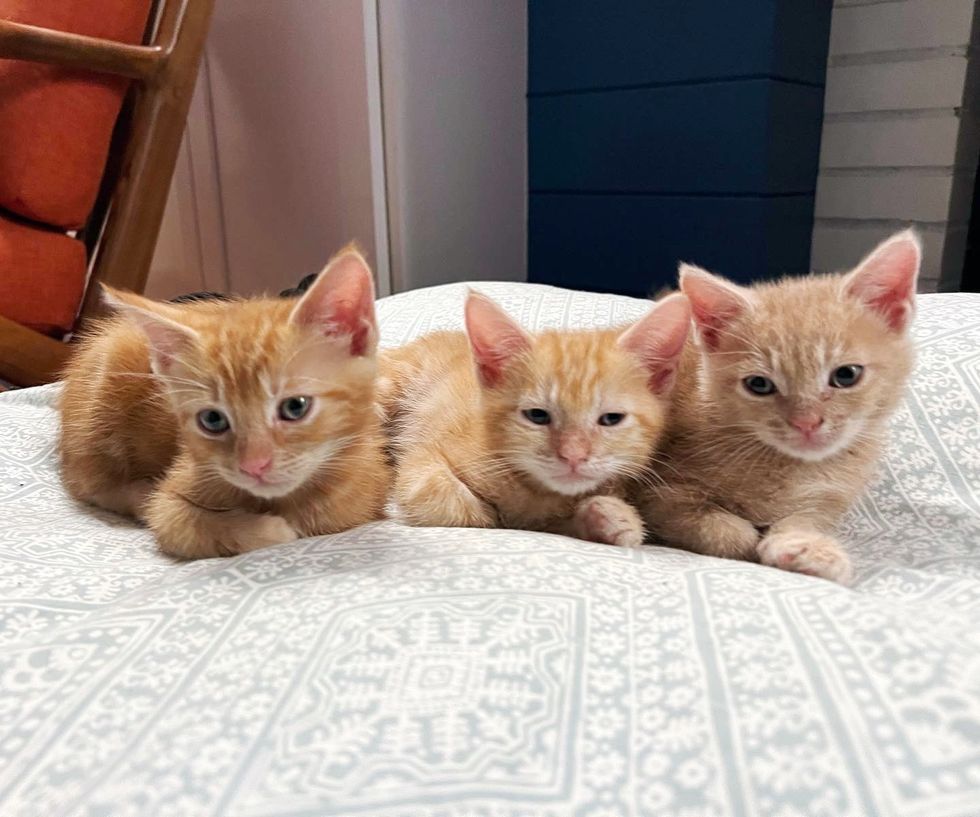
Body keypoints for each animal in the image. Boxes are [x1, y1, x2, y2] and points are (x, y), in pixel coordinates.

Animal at [59, 245, 390, 556]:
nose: (253, 466)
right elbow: (176, 521)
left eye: (295, 407)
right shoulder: (173, 502)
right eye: (212, 420)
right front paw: (272, 529)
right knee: (88, 483)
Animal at [378, 290, 692, 544]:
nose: (573, 456)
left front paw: (612, 518)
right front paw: (486, 515)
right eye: (537, 416)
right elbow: (441, 498)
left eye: (611, 419)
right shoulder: (425, 457)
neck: (534, 492)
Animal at [640, 230, 924, 580]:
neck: (789, 465)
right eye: (759, 384)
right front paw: (753, 544)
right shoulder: (661, 493)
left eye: (846, 375)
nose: (807, 422)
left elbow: (805, 519)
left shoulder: (828, 500)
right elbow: (727, 531)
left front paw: (808, 548)